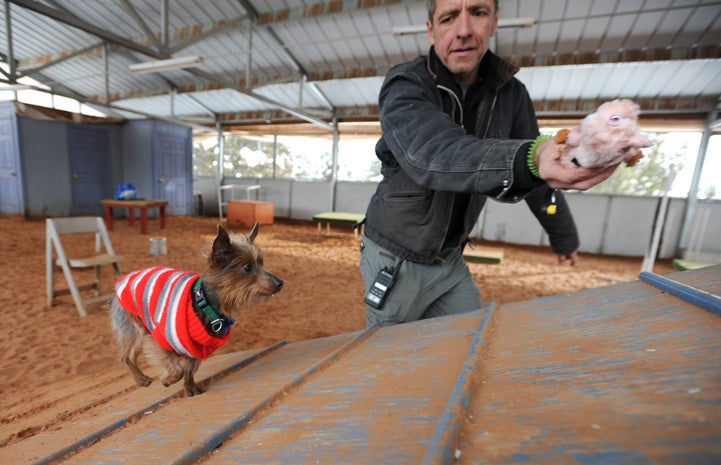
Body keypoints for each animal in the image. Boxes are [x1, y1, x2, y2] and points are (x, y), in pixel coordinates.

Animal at [111, 222, 282, 396]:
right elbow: (178, 370)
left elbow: (188, 370)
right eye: (248, 267)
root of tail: (124, 279)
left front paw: (190, 387)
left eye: (262, 263)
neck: (205, 305)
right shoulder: (157, 339)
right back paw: (141, 379)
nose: (280, 283)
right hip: (133, 328)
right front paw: (167, 380)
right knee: (126, 357)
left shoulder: (197, 347)